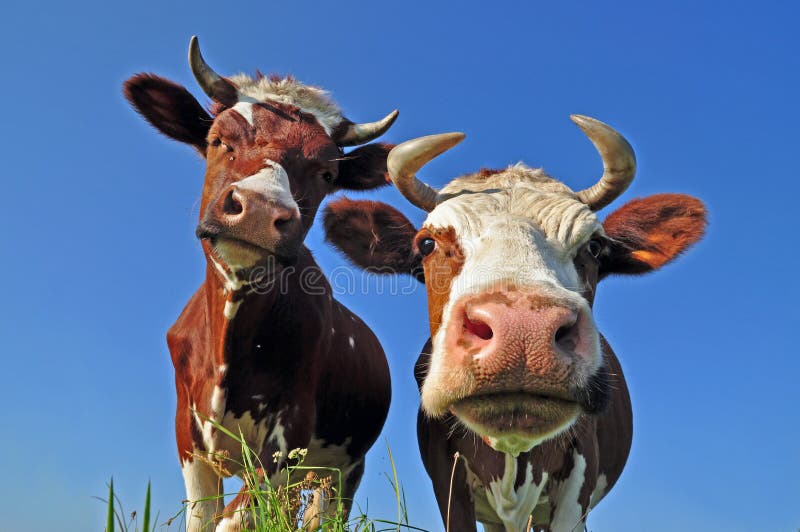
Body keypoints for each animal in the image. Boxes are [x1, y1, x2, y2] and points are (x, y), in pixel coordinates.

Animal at [123, 36, 396, 528]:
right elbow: (204, 518)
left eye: (327, 173)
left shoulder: (290, 440)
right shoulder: (188, 436)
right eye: (218, 140)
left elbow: (234, 520)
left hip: (341, 471)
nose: (258, 210)